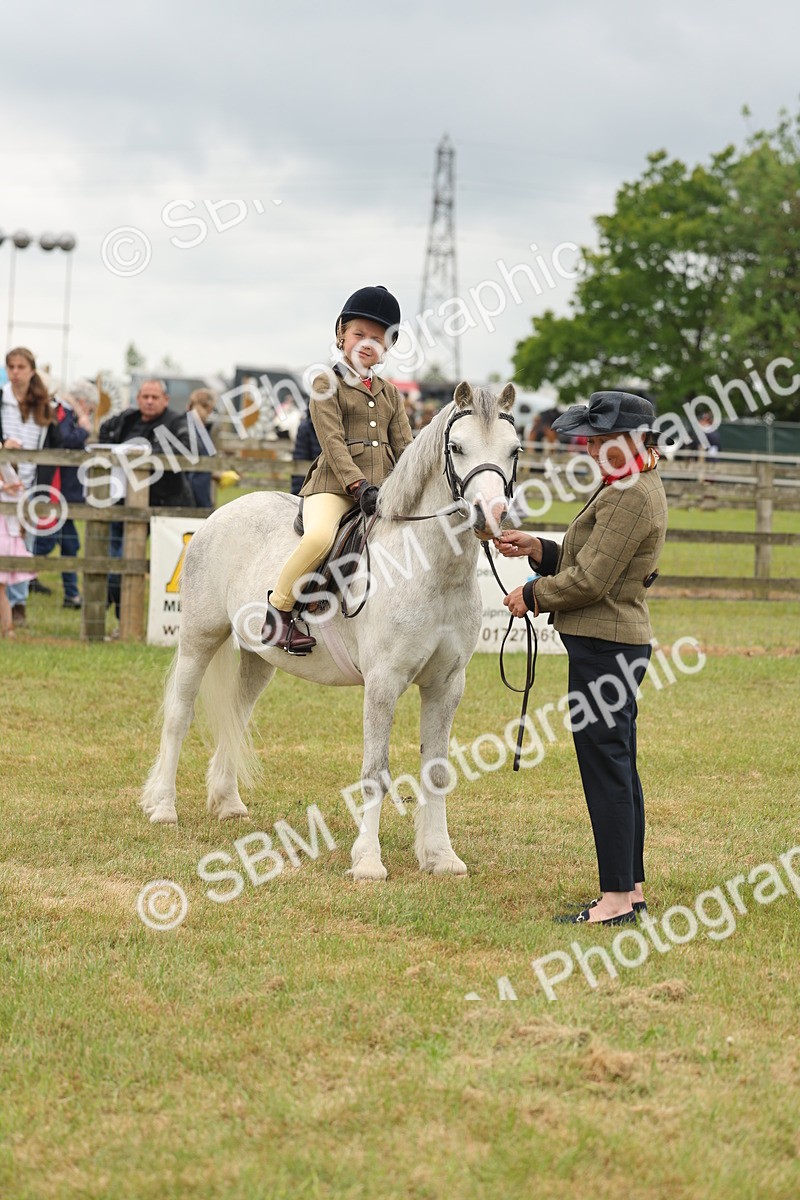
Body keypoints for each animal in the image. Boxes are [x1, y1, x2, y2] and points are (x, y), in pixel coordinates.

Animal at [141, 381, 521, 881]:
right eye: (457, 447)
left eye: (514, 450)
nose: (489, 515)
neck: (429, 569)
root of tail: (223, 513)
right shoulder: (383, 683)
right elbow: (375, 772)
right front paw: (369, 862)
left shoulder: (446, 685)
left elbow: (437, 771)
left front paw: (441, 857)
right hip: (199, 639)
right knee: (179, 716)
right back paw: (163, 808)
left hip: (258, 657)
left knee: (236, 715)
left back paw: (228, 804)